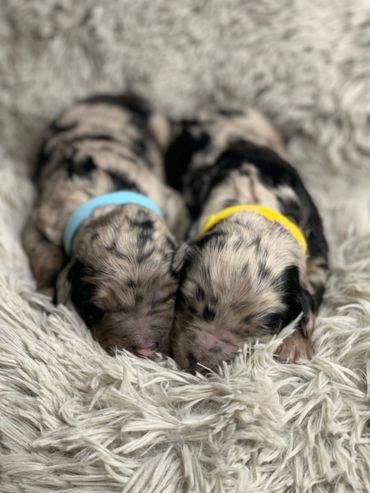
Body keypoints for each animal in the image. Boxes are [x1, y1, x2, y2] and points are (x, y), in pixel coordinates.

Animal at [23, 94, 188, 358]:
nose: (144, 351)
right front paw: (48, 291)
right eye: (97, 310)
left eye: (169, 295)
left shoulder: (172, 202)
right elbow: (47, 255)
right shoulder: (43, 218)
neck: (108, 203)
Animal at [165, 107, 330, 368]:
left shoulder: (316, 248)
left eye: (258, 327)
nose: (198, 362)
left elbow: (310, 297)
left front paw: (295, 346)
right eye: (187, 302)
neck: (255, 205)